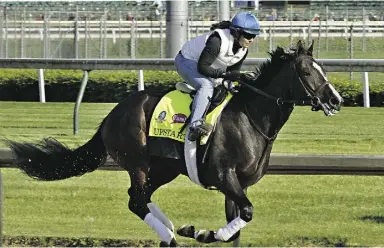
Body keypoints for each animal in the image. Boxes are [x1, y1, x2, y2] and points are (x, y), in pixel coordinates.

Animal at [5, 40, 342, 246]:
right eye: (307, 71)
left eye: (323, 69)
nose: (335, 100)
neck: (250, 118)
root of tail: (112, 114)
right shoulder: (225, 176)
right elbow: (246, 213)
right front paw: (201, 232)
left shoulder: (239, 184)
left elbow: (236, 224)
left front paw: (200, 230)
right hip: (137, 159)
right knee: (136, 199)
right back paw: (171, 235)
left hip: (165, 168)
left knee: (142, 196)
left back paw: (171, 229)